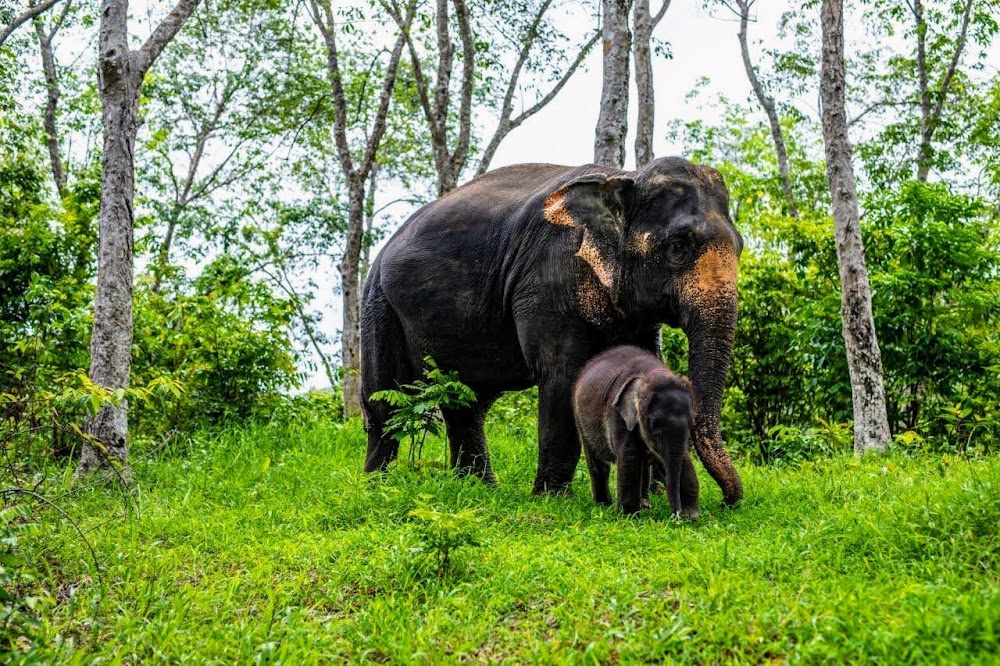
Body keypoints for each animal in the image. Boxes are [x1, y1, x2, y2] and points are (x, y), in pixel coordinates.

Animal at [573, 345, 696, 516]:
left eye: (692, 424)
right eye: (653, 425)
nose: (675, 516)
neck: (653, 373)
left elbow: (684, 458)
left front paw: (692, 516)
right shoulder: (618, 414)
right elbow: (629, 456)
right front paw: (628, 516)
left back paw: (644, 503)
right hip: (581, 419)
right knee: (597, 460)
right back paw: (604, 504)